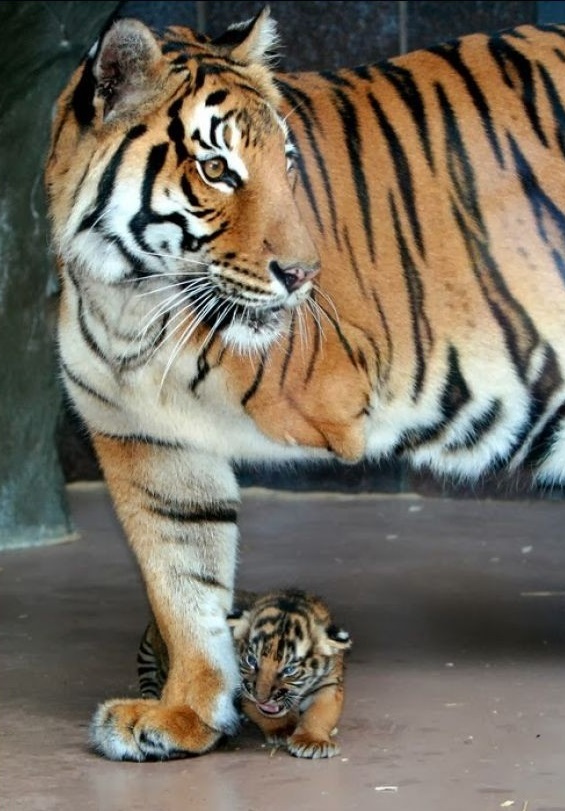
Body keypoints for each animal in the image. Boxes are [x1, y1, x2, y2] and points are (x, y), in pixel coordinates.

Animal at [137, 589, 352, 759]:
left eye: (289, 670)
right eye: (252, 661)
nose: (262, 698)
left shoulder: (330, 684)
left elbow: (319, 714)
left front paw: (312, 742)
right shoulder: (241, 685)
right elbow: (264, 714)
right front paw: (284, 729)